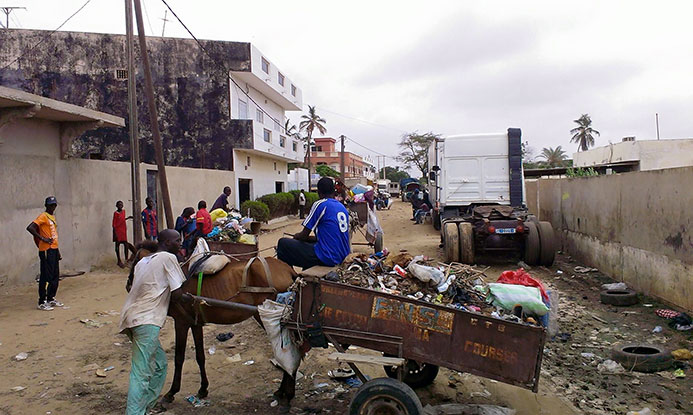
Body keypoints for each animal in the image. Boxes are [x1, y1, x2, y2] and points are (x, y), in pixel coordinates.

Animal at [127, 242, 298, 408]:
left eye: (134, 261)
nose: (128, 284)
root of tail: (289, 270)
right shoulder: (195, 323)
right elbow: (200, 356)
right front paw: (203, 389)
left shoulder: (181, 322)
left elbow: (179, 358)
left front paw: (171, 393)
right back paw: (283, 392)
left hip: (267, 317)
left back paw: (287, 393)